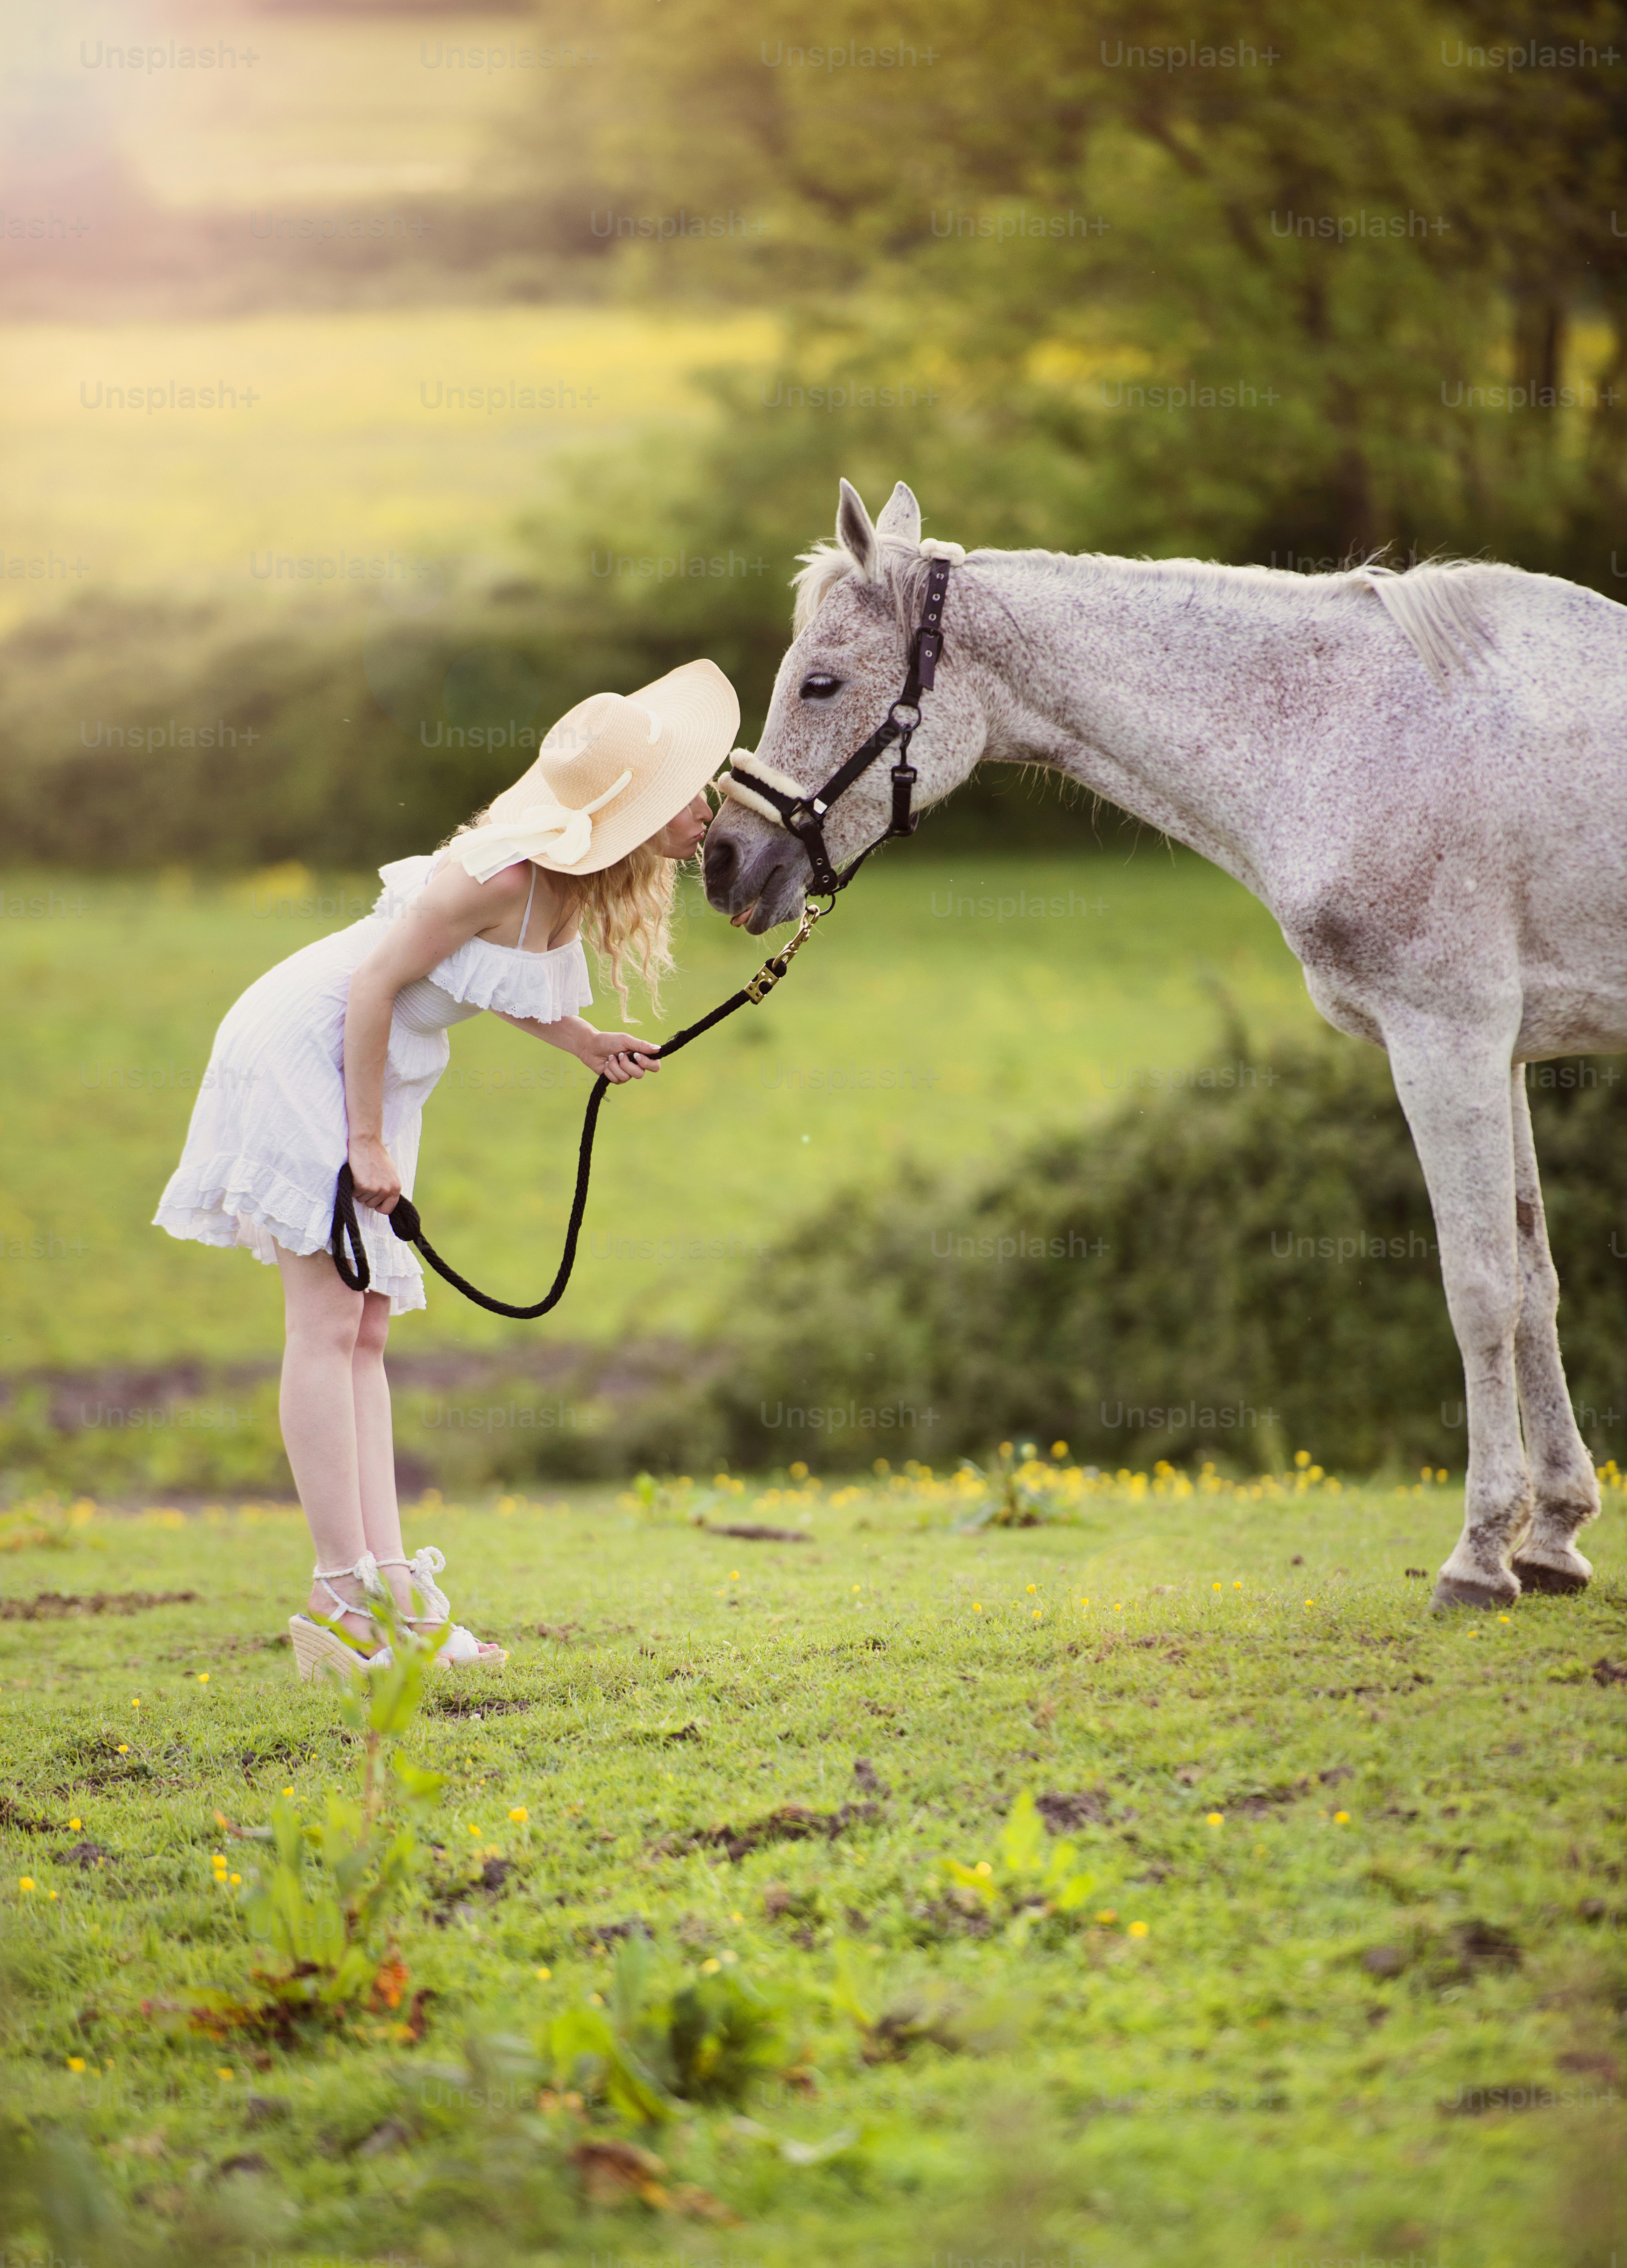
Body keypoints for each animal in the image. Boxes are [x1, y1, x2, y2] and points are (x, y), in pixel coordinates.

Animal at [702, 476, 1627, 1612]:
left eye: (822, 683)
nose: (722, 860)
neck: (1345, 728)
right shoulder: (1500, 1050)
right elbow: (1536, 1282)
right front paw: (1553, 1539)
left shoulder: (1443, 1038)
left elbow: (1480, 1286)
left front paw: (1480, 1555)